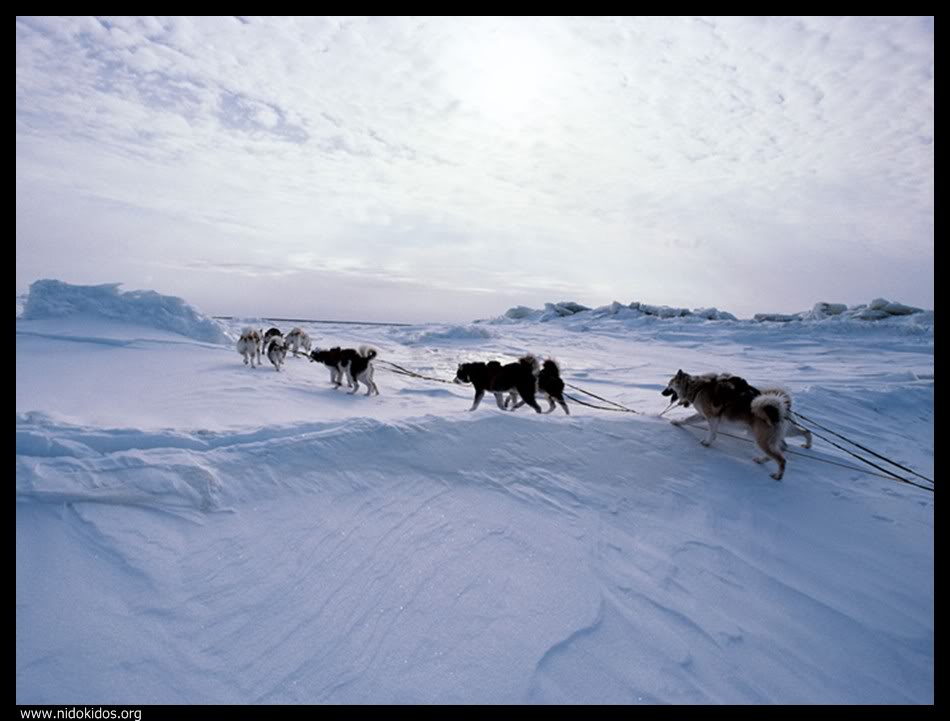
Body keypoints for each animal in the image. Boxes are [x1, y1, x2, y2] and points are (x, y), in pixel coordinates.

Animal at [664, 372, 816, 478]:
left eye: (669, 384)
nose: (662, 392)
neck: (697, 387)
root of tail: (781, 408)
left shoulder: (712, 417)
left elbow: (712, 433)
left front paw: (707, 442)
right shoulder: (702, 416)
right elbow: (687, 419)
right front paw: (677, 421)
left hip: (762, 440)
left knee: (782, 459)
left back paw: (777, 475)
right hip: (780, 434)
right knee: (802, 434)